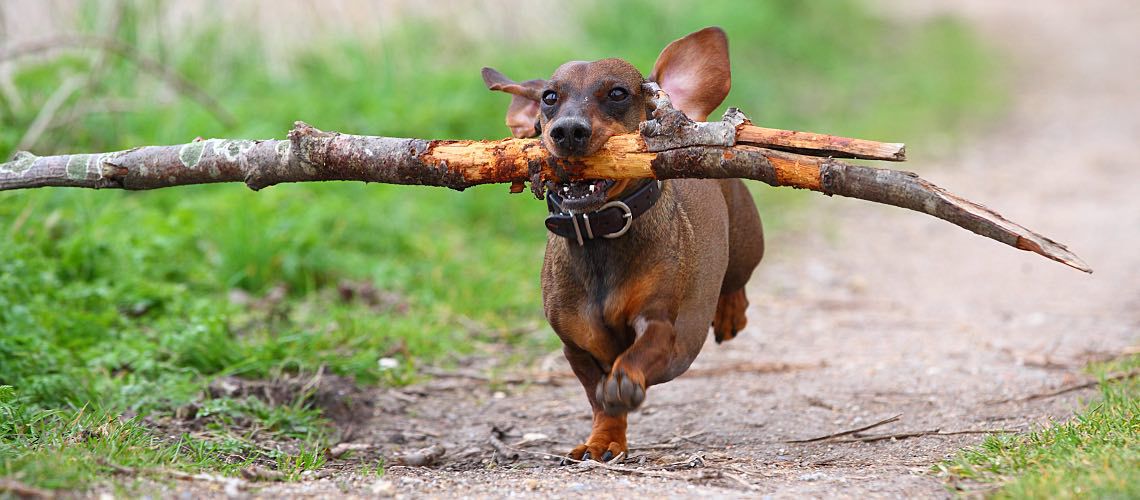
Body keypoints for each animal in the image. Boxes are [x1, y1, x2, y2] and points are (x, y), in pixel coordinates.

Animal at [476, 27, 761, 464]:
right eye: (550, 97)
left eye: (617, 93)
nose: (568, 131)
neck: (598, 237)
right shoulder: (576, 347)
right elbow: (599, 399)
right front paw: (603, 440)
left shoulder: (660, 324)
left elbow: (638, 353)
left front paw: (625, 379)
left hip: (748, 240)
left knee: (737, 281)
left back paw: (731, 312)